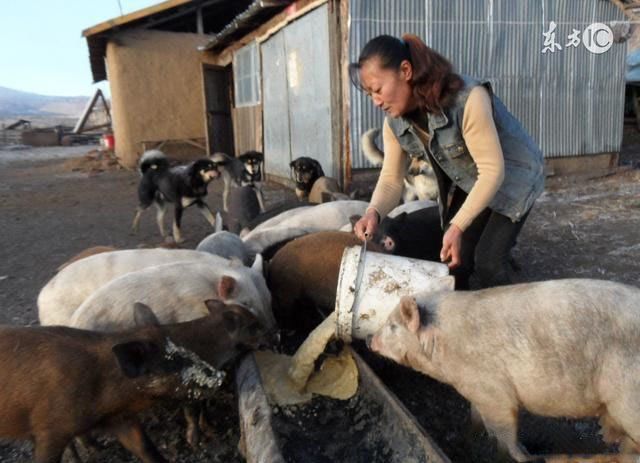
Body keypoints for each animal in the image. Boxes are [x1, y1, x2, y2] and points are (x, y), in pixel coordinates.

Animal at [0, 300, 268, 462]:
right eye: (254, 326)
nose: (273, 335)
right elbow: (192, 411)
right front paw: (196, 443)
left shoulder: (121, 418)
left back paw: (97, 449)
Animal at [370, 278, 640, 462]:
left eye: (393, 326)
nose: (371, 340)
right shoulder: (475, 389)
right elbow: (475, 416)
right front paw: (467, 436)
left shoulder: (493, 391)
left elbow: (505, 431)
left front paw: (523, 456)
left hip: (629, 402)